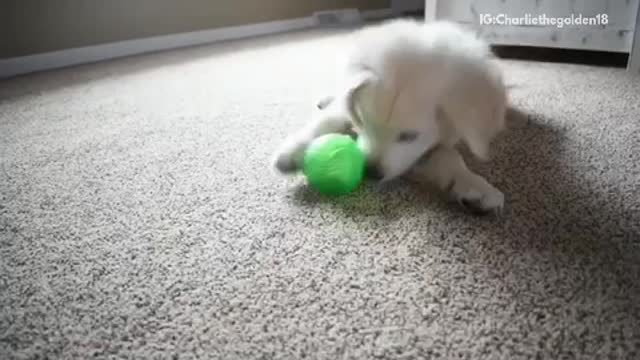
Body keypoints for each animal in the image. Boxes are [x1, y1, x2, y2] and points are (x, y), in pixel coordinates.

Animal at [272, 19, 508, 214]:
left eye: (409, 136)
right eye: (363, 123)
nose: (370, 172)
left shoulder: (445, 133)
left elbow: (450, 156)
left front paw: (475, 185)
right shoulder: (347, 104)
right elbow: (327, 120)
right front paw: (291, 152)